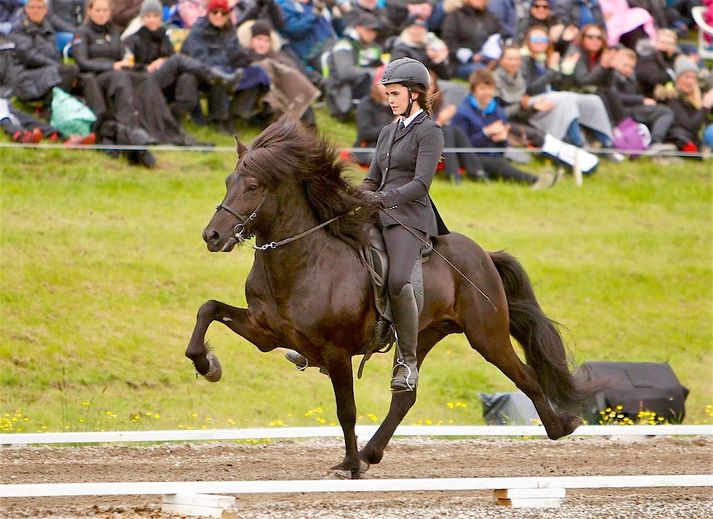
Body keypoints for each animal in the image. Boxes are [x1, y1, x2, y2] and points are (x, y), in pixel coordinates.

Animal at [185, 117, 596, 480]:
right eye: (229, 181)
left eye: (253, 186)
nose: (212, 236)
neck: (303, 260)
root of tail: (483, 254)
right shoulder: (266, 333)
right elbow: (208, 309)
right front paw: (207, 365)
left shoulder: (336, 351)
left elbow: (346, 410)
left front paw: (349, 466)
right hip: (423, 334)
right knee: (405, 397)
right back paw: (371, 452)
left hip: (486, 335)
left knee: (525, 375)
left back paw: (561, 426)